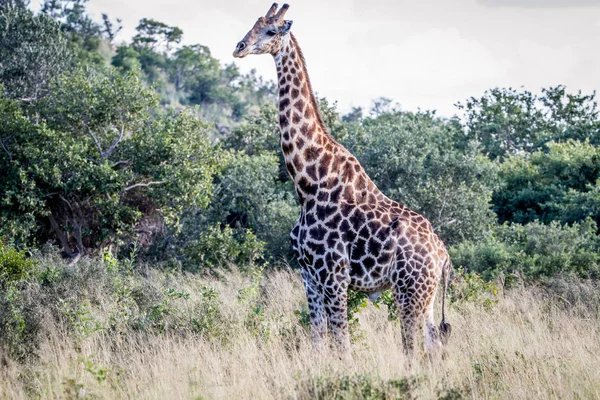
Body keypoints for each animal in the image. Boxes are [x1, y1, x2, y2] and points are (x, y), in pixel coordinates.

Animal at [233, 1, 450, 354]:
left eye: (270, 30)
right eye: (253, 24)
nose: (238, 47)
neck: (308, 182)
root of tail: (443, 255)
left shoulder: (333, 274)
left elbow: (342, 345)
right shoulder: (308, 275)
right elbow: (319, 341)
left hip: (409, 289)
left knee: (411, 348)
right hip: (426, 296)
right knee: (433, 346)